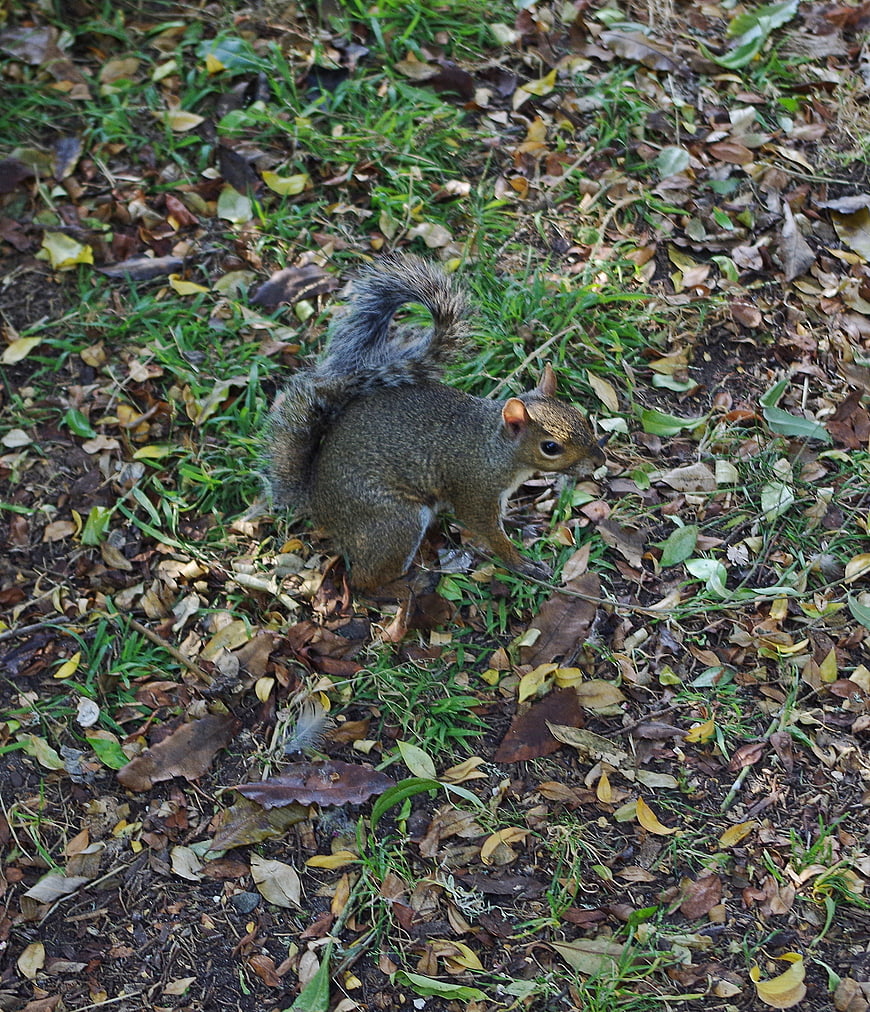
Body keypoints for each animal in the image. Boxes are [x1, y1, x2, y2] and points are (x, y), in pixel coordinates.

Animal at [265, 254, 606, 590]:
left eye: (581, 418)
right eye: (550, 447)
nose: (599, 461)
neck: (495, 448)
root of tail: (317, 501)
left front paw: (516, 518)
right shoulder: (474, 489)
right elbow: (486, 529)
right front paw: (521, 563)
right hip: (395, 522)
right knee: (363, 580)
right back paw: (409, 584)